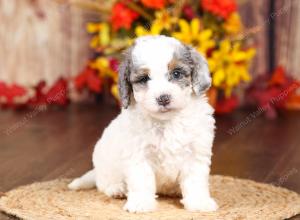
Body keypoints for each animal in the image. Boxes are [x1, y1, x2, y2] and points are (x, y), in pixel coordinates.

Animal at [69, 35, 217, 212]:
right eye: (144, 78)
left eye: (176, 73)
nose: (163, 98)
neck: (166, 122)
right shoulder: (138, 155)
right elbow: (141, 180)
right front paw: (141, 203)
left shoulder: (195, 152)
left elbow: (195, 180)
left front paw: (199, 202)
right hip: (105, 164)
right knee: (103, 183)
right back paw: (117, 189)